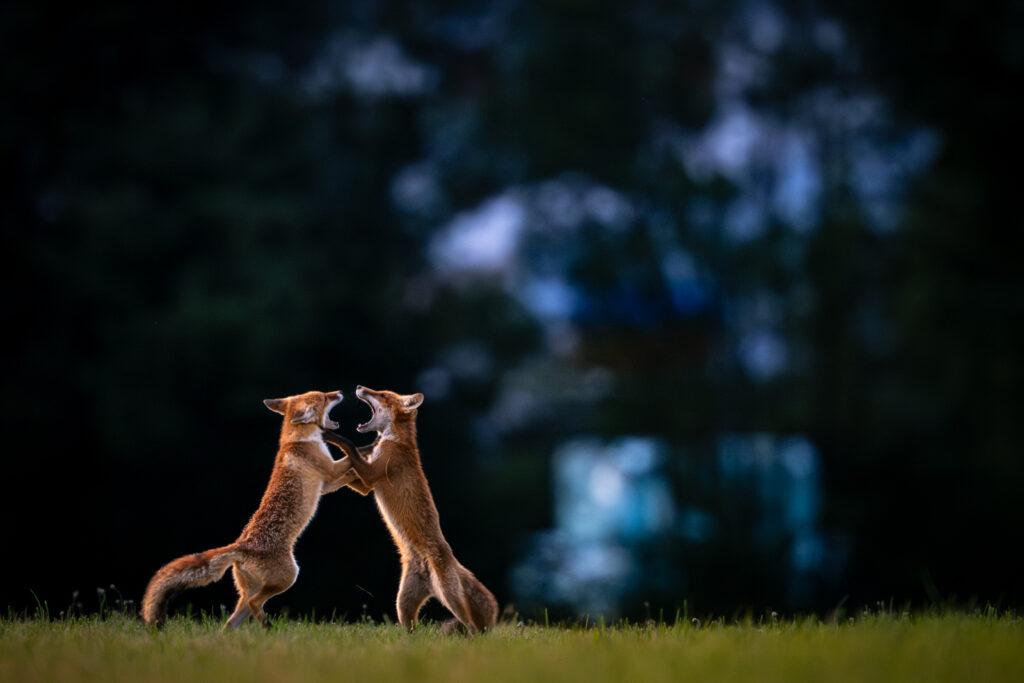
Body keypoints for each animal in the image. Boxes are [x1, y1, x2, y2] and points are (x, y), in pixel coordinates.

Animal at [141, 390, 358, 630]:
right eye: (324, 398)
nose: (339, 392)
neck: (297, 441)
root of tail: (241, 546)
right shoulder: (330, 472)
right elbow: (352, 458)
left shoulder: (326, 485)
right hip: (288, 576)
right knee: (256, 603)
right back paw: (268, 627)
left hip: (248, 594)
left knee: (231, 622)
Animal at [322, 385, 498, 634]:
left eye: (382, 395)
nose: (359, 387)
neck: (396, 441)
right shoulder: (367, 485)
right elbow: (351, 465)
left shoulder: (372, 475)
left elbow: (348, 445)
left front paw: (331, 437)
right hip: (402, 603)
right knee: (411, 627)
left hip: (450, 597)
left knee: (470, 624)